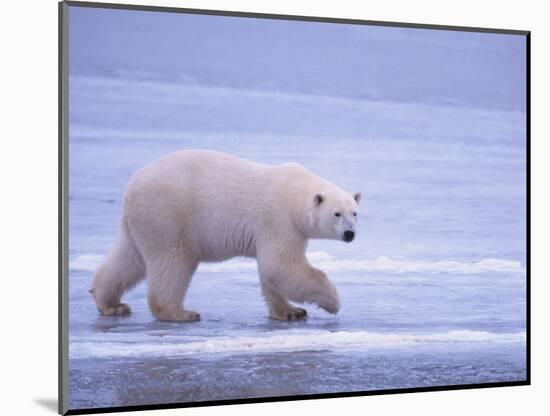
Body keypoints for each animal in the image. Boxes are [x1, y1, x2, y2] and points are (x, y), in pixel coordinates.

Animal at [90, 150, 362, 322]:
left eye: (355, 213)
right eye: (337, 214)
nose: (349, 234)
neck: (295, 194)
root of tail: (132, 187)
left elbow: (271, 273)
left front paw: (291, 312)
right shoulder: (279, 220)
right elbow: (281, 266)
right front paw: (333, 302)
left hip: (141, 222)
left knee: (129, 258)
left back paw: (110, 303)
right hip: (168, 215)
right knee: (173, 262)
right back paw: (180, 313)